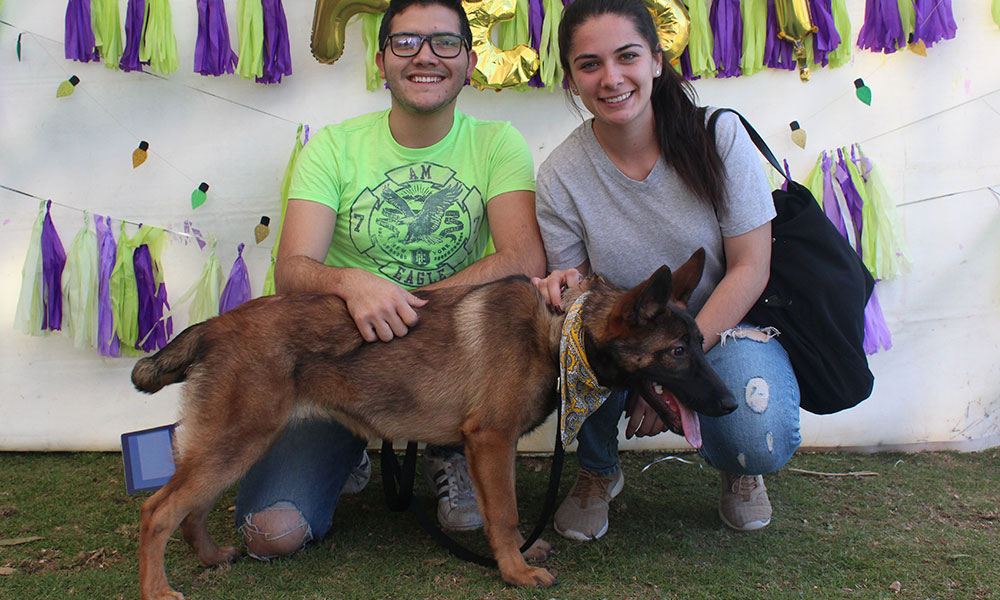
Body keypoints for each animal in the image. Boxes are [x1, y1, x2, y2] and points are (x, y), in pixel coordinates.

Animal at [131, 247, 736, 596]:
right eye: (677, 352)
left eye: (697, 343)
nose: (731, 404)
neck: (558, 329)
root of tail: (215, 325)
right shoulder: (491, 442)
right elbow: (507, 515)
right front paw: (515, 571)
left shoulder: (489, 447)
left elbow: (503, 516)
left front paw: (518, 557)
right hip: (236, 442)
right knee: (158, 511)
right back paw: (158, 590)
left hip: (233, 445)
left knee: (190, 509)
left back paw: (212, 559)